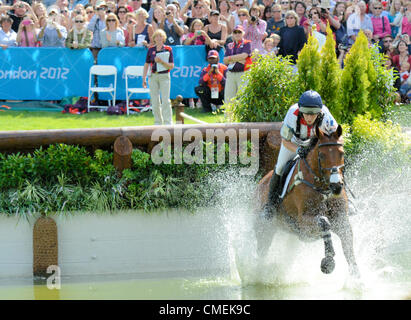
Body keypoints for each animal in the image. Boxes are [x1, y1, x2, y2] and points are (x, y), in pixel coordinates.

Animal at [256, 125, 362, 278]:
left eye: (341, 153)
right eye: (321, 155)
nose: (336, 186)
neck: (324, 189)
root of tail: (260, 184)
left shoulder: (341, 220)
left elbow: (348, 247)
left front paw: (357, 279)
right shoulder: (304, 222)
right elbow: (324, 222)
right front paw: (328, 262)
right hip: (265, 228)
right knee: (261, 250)